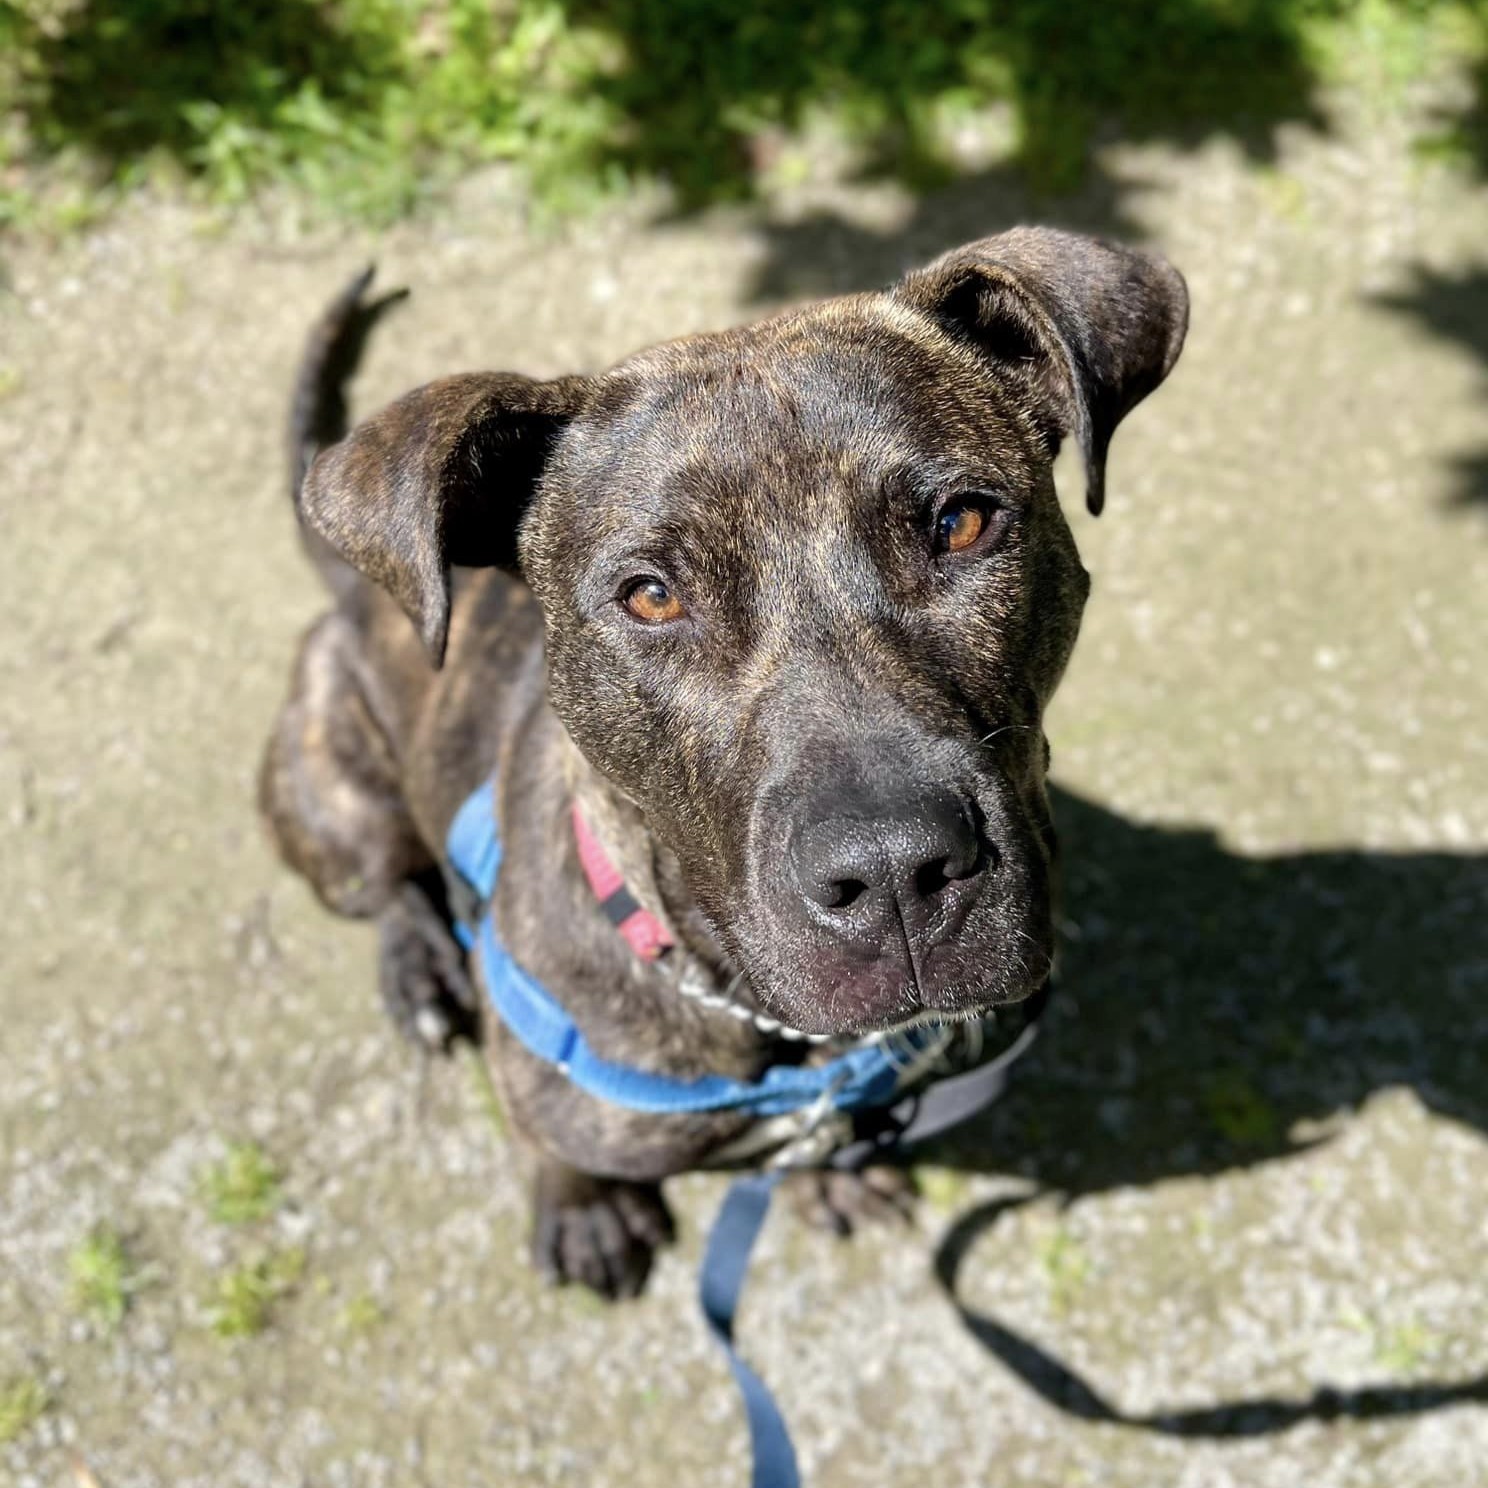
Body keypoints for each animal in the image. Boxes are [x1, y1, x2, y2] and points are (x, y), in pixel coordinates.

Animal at [258, 226, 1184, 1297]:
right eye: (651, 596)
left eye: (961, 521)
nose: (894, 872)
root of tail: (351, 591)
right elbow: (544, 1139)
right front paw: (583, 1205)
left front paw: (824, 1180)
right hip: (324, 783)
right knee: (385, 881)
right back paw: (418, 968)